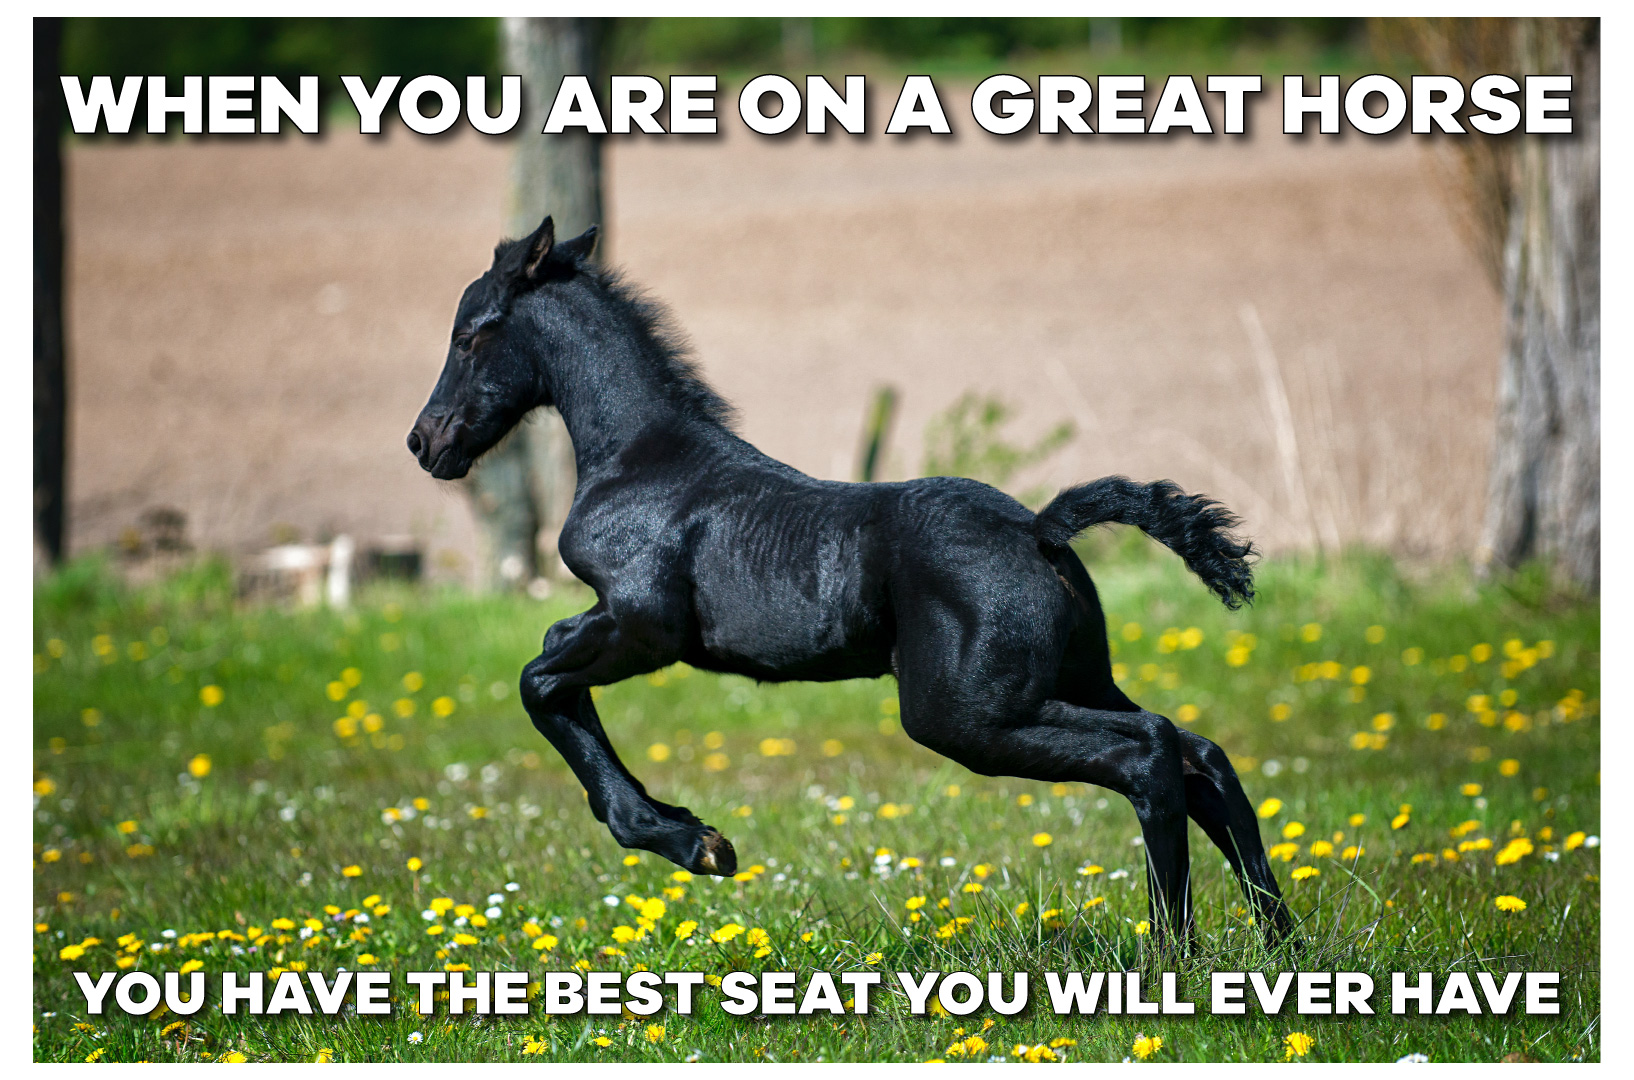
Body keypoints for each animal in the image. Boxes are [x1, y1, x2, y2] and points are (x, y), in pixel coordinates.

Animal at [407, 215, 1295, 946]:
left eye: (470, 335)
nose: (425, 443)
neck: (643, 459)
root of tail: (1040, 529)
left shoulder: (642, 626)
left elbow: (539, 679)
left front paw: (693, 842)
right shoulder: (617, 625)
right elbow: (553, 673)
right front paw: (689, 831)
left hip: (967, 715)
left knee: (1150, 753)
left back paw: (1173, 952)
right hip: (1068, 681)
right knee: (1201, 754)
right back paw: (1279, 945)